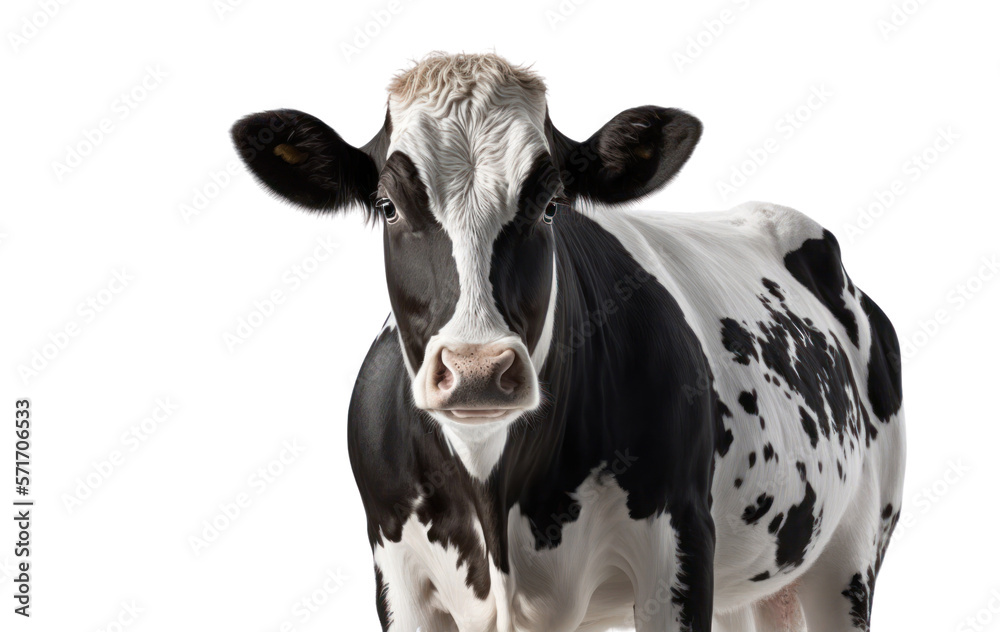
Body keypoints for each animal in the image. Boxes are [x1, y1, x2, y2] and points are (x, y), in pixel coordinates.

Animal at [231, 53, 906, 632]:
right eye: (389, 205)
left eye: (551, 203)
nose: (477, 370)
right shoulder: (396, 570)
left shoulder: (679, 549)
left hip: (851, 553)